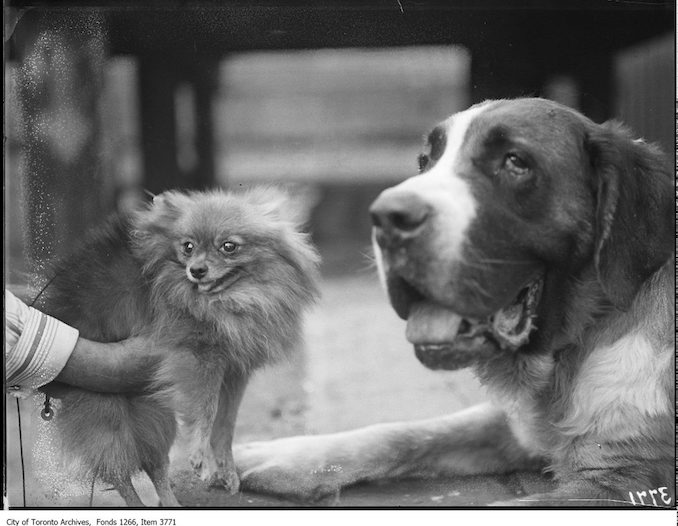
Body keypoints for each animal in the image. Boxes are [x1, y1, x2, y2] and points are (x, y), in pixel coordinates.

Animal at [234, 98, 676, 508]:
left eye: (515, 161)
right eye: (425, 162)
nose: (388, 216)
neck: (573, 351)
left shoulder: (620, 483)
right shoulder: (514, 425)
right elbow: (408, 431)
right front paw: (281, 454)